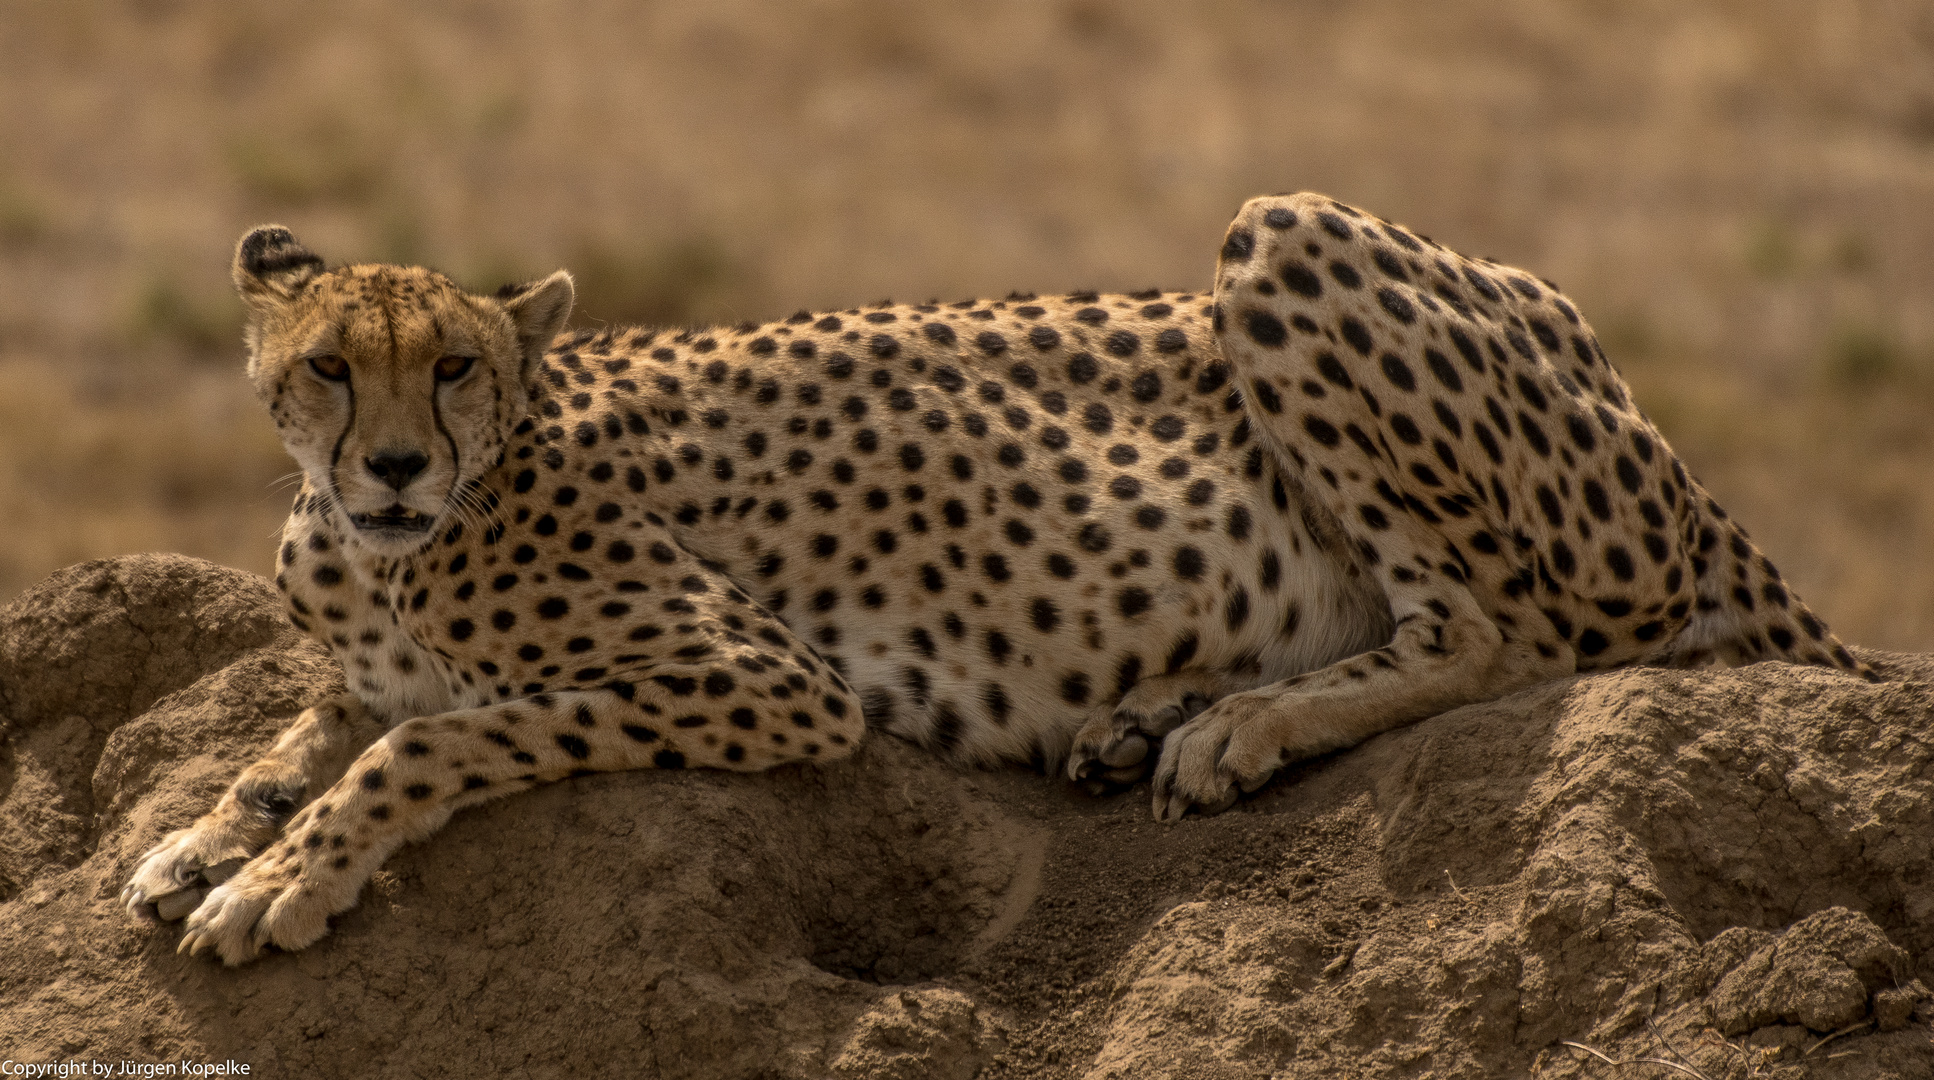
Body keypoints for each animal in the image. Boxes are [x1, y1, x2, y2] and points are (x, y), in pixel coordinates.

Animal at [120, 192, 1872, 963]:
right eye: (332, 368)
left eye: (456, 369)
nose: (394, 468)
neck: (380, 550)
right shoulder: (357, 644)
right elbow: (307, 727)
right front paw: (196, 838)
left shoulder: (762, 680)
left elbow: (432, 738)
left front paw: (277, 883)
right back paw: (1144, 718)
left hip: (1287, 234)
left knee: (1503, 630)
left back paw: (1230, 730)